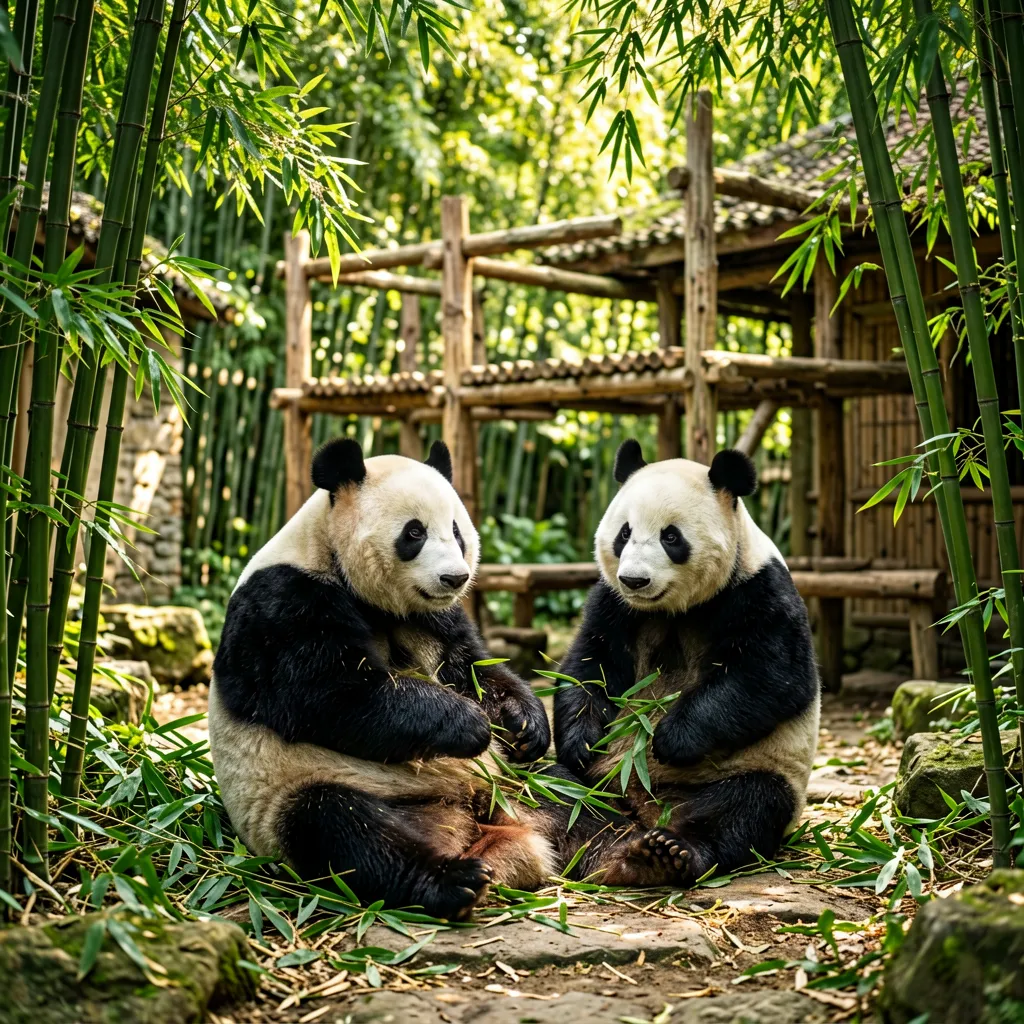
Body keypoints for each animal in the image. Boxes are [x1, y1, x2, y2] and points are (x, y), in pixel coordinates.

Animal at [209, 438, 578, 920]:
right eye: (414, 533)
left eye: (457, 530)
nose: (454, 578)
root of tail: (471, 823)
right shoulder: (282, 603)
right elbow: (334, 695)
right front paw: (468, 724)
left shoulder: (428, 615)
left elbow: (472, 666)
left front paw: (525, 724)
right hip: (295, 794)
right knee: (344, 830)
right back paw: (454, 881)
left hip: (516, 787)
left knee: (572, 789)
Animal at [554, 440, 820, 887]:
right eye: (624, 533)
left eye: (671, 536)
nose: (635, 580)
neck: (672, 609)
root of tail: (644, 804)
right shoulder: (614, 602)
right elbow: (591, 663)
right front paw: (581, 741)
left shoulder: (758, 589)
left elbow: (773, 676)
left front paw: (669, 738)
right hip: (595, 785)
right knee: (558, 790)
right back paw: (612, 852)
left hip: (759, 770)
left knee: (743, 808)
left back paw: (669, 853)